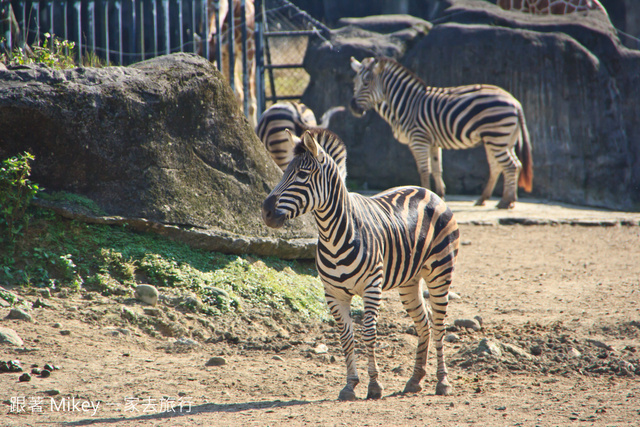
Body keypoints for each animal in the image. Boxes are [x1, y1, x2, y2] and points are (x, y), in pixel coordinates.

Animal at [262, 128, 460, 402]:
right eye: (283, 173)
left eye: (301, 175)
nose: (266, 211)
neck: (333, 234)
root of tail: (427, 192)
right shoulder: (333, 294)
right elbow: (346, 337)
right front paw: (350, 386)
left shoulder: (371, 288)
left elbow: (368, 333)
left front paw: (374, 386)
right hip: (409, 281)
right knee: (424, 324)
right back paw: (415, 380)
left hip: (440, 273)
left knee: (440, 325)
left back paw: (442, 382)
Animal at [348, 56, 532, 210]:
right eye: (354, 81)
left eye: (366, 83)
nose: (353, 108)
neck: (405, 104)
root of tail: (515, 102)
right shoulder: (432, 143)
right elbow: (437, 169)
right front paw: (439, 196)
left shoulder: (418, 140)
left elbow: (424, 170)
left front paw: (423, 194)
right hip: (503, 139)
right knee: (506, 165)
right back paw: (489, 199)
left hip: (496, 137)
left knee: (510, 166)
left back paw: (505, 202)